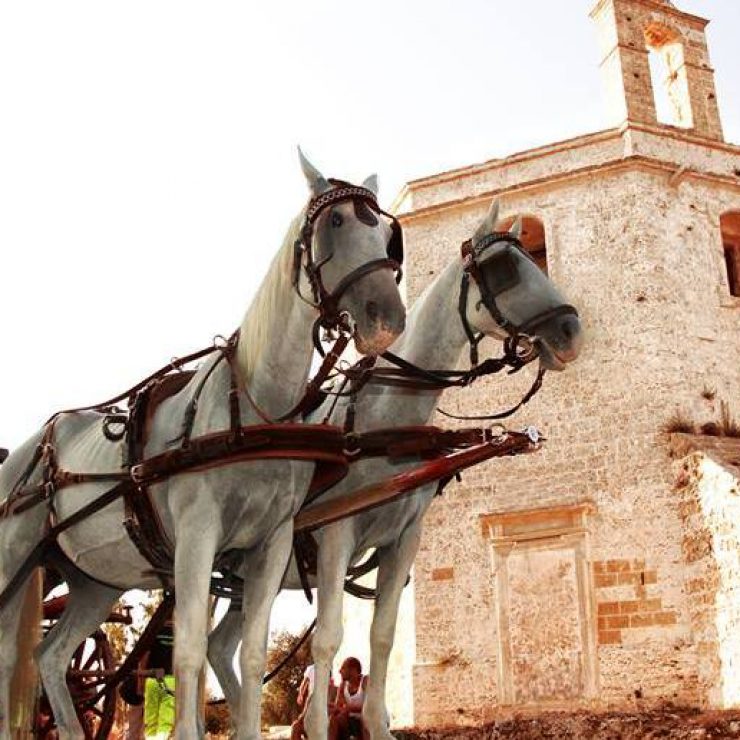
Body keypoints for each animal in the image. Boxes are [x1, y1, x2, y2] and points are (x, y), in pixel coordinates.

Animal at [0, 152, 408, 740]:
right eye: (335, 222)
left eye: (384, 233)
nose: (387, 319)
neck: (256, 412)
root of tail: (30, 448)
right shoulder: (197, 537)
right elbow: (190, 652)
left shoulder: (271, 544)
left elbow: (251, 656)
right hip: (14, 562)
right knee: (11, 657)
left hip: (95, 581)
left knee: (50, 656)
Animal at [207, 199, 584, 736]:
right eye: (505, 268)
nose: (570, 331)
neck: (384, 425)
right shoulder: (336, 536)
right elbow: (328, 638)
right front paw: (319, 725)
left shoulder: (404, 539)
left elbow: (382, 636)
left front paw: (377, 722)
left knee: (220, 646)